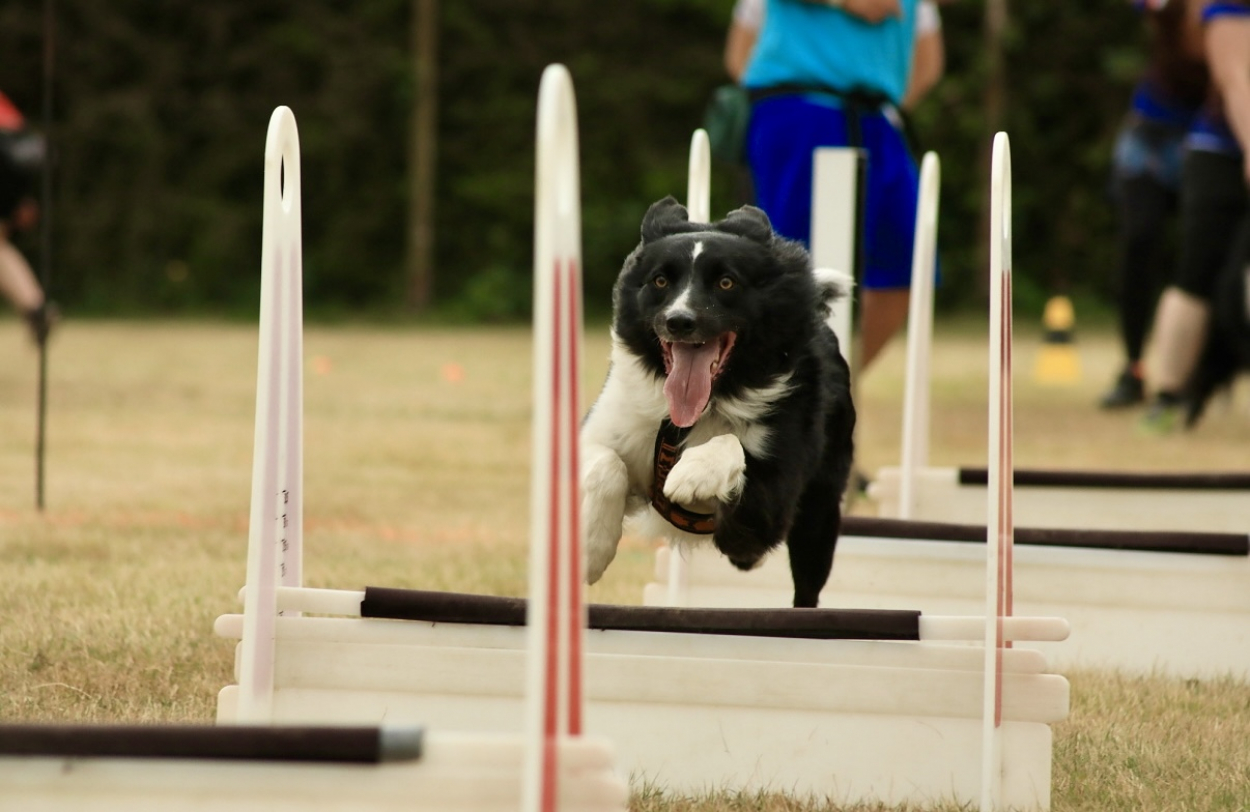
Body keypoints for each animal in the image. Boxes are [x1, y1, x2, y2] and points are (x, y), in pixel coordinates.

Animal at [580, 196, 856, 608]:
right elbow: (605, 464)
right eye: (660, 281)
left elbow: (731, 443)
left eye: (727, 282)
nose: (679, 321)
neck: (697, 410)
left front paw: (693, 474)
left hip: (818, 512)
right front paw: (589, 550)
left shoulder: (769, 504)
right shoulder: (607, 426)